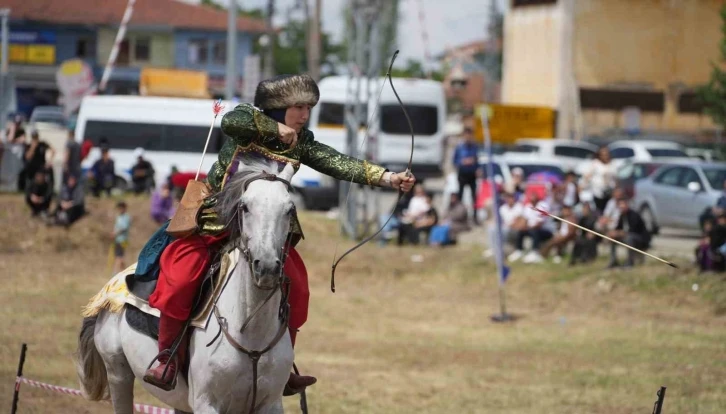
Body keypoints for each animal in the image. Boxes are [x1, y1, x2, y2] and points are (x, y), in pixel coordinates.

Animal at [76, 162, 298, 414]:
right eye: (245, 207)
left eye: (290, 209)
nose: (267, 267)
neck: (251, 335)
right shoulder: (207, 404)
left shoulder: (270, 404)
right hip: (117, 374)